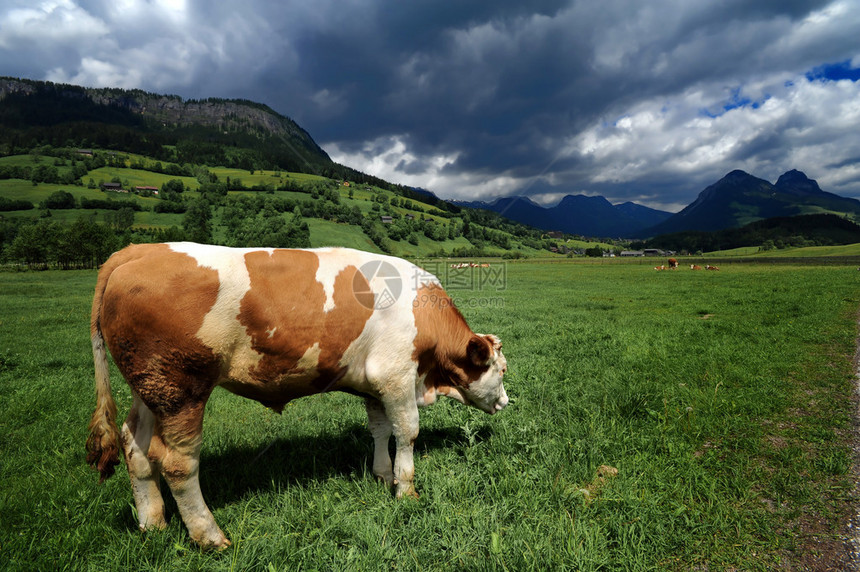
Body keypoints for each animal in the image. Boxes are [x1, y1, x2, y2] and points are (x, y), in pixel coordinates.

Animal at [84, 242, 508, 548]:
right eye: (502, 370)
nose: (506, 402)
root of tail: (136, 250)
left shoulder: (374, 384)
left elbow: (380, 430)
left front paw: (381, 474)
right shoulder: (397, 376)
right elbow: (407, 433)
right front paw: (406, 490)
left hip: (149, 388)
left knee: (135, 447)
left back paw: (152, 522)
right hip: (181, 390)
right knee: (177, 464)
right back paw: (210, 537)